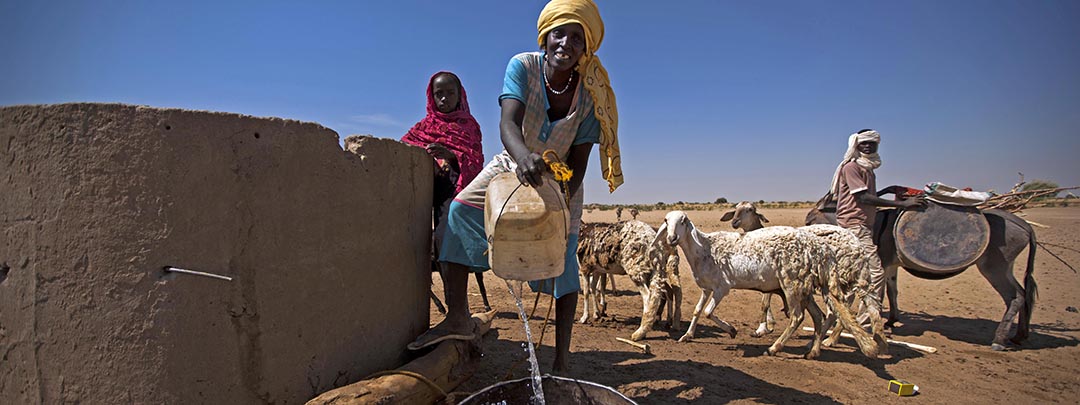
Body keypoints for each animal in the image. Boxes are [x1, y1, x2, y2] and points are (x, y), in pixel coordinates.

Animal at [656, 210, 885, 360]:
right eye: (666, 220)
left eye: (684, 220)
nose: (672, 238)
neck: (704, 249)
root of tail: (820, 248)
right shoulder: (706, 287)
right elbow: (697, 311)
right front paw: (687, 335)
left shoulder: (722, 288)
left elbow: (708, 312)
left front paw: (732, 331)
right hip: (804, 287)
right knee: (819, 316)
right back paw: (812, 351)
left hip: (792, 284)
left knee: (798, 317)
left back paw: (775, 348)